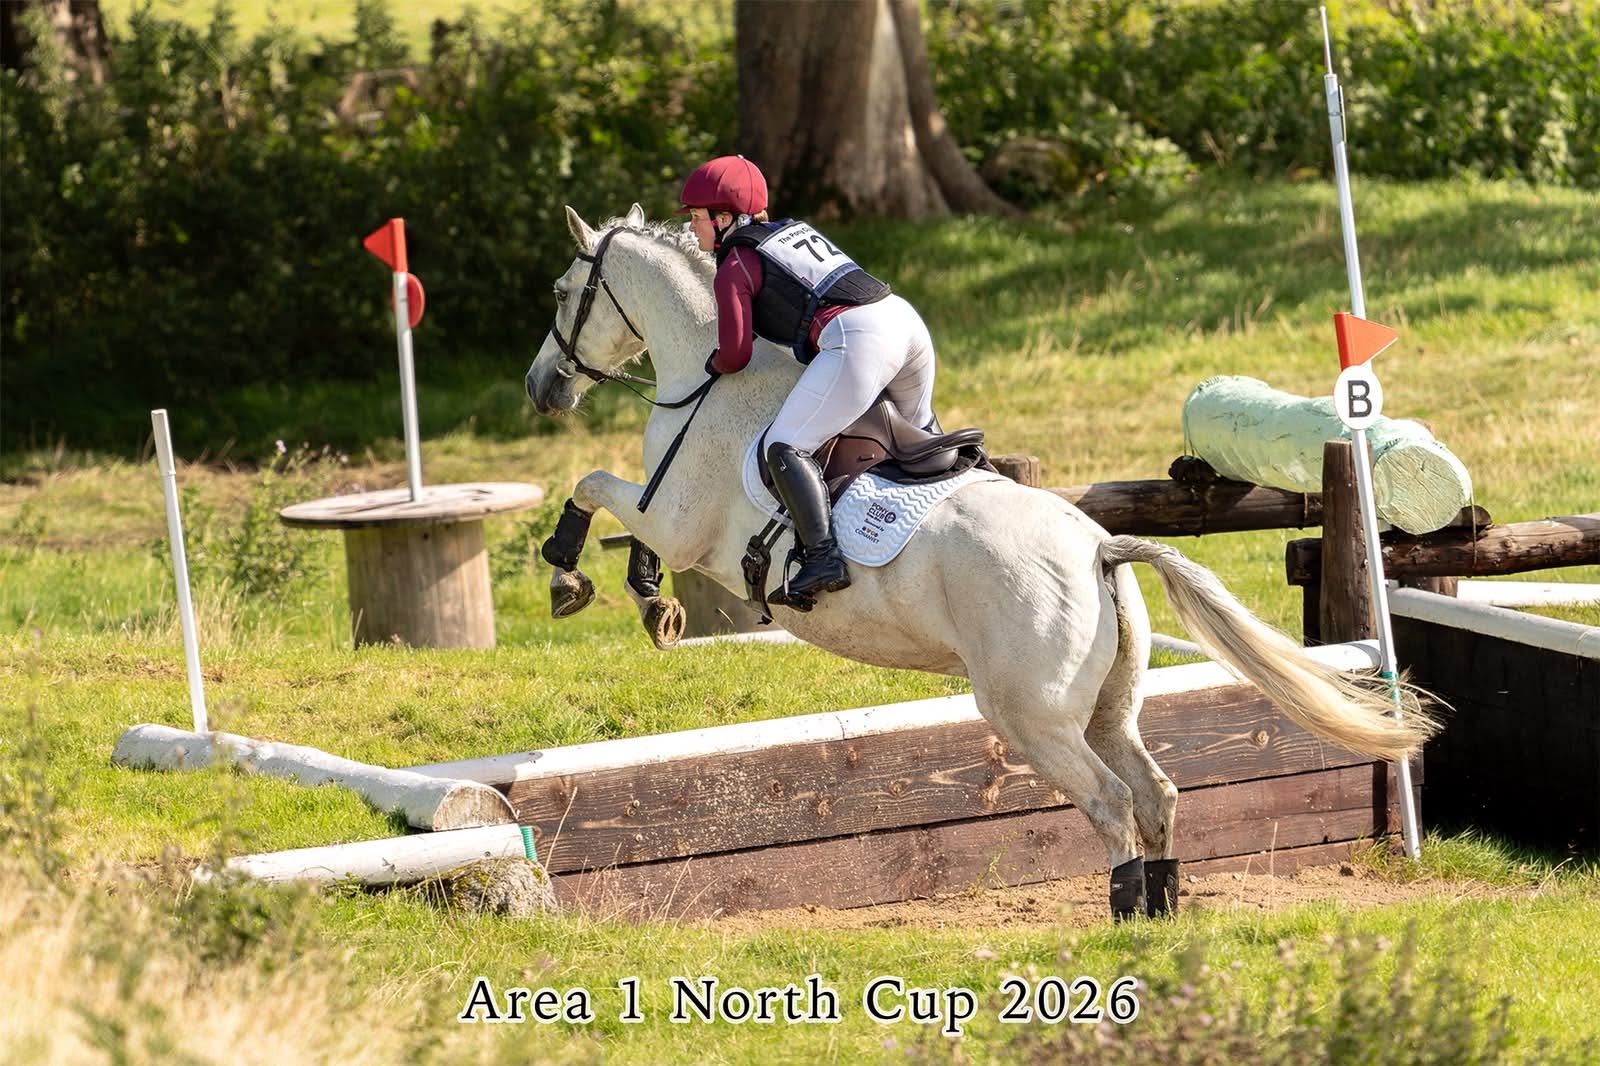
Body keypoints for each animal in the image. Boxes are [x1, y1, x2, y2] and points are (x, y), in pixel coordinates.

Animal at [523, 204, 1434, 920]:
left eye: (563, 292)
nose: (542, 388)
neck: (710, 379)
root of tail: (1099, 546)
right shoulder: (672, 521)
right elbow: (621, 513)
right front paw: (653, 604)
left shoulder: (680, 520)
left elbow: (593, 484)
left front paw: (570, 573)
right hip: (1108, 706)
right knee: (1156, 792)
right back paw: (1163, 909)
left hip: (1029, 714)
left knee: (1110, 802)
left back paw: (1124, 920)